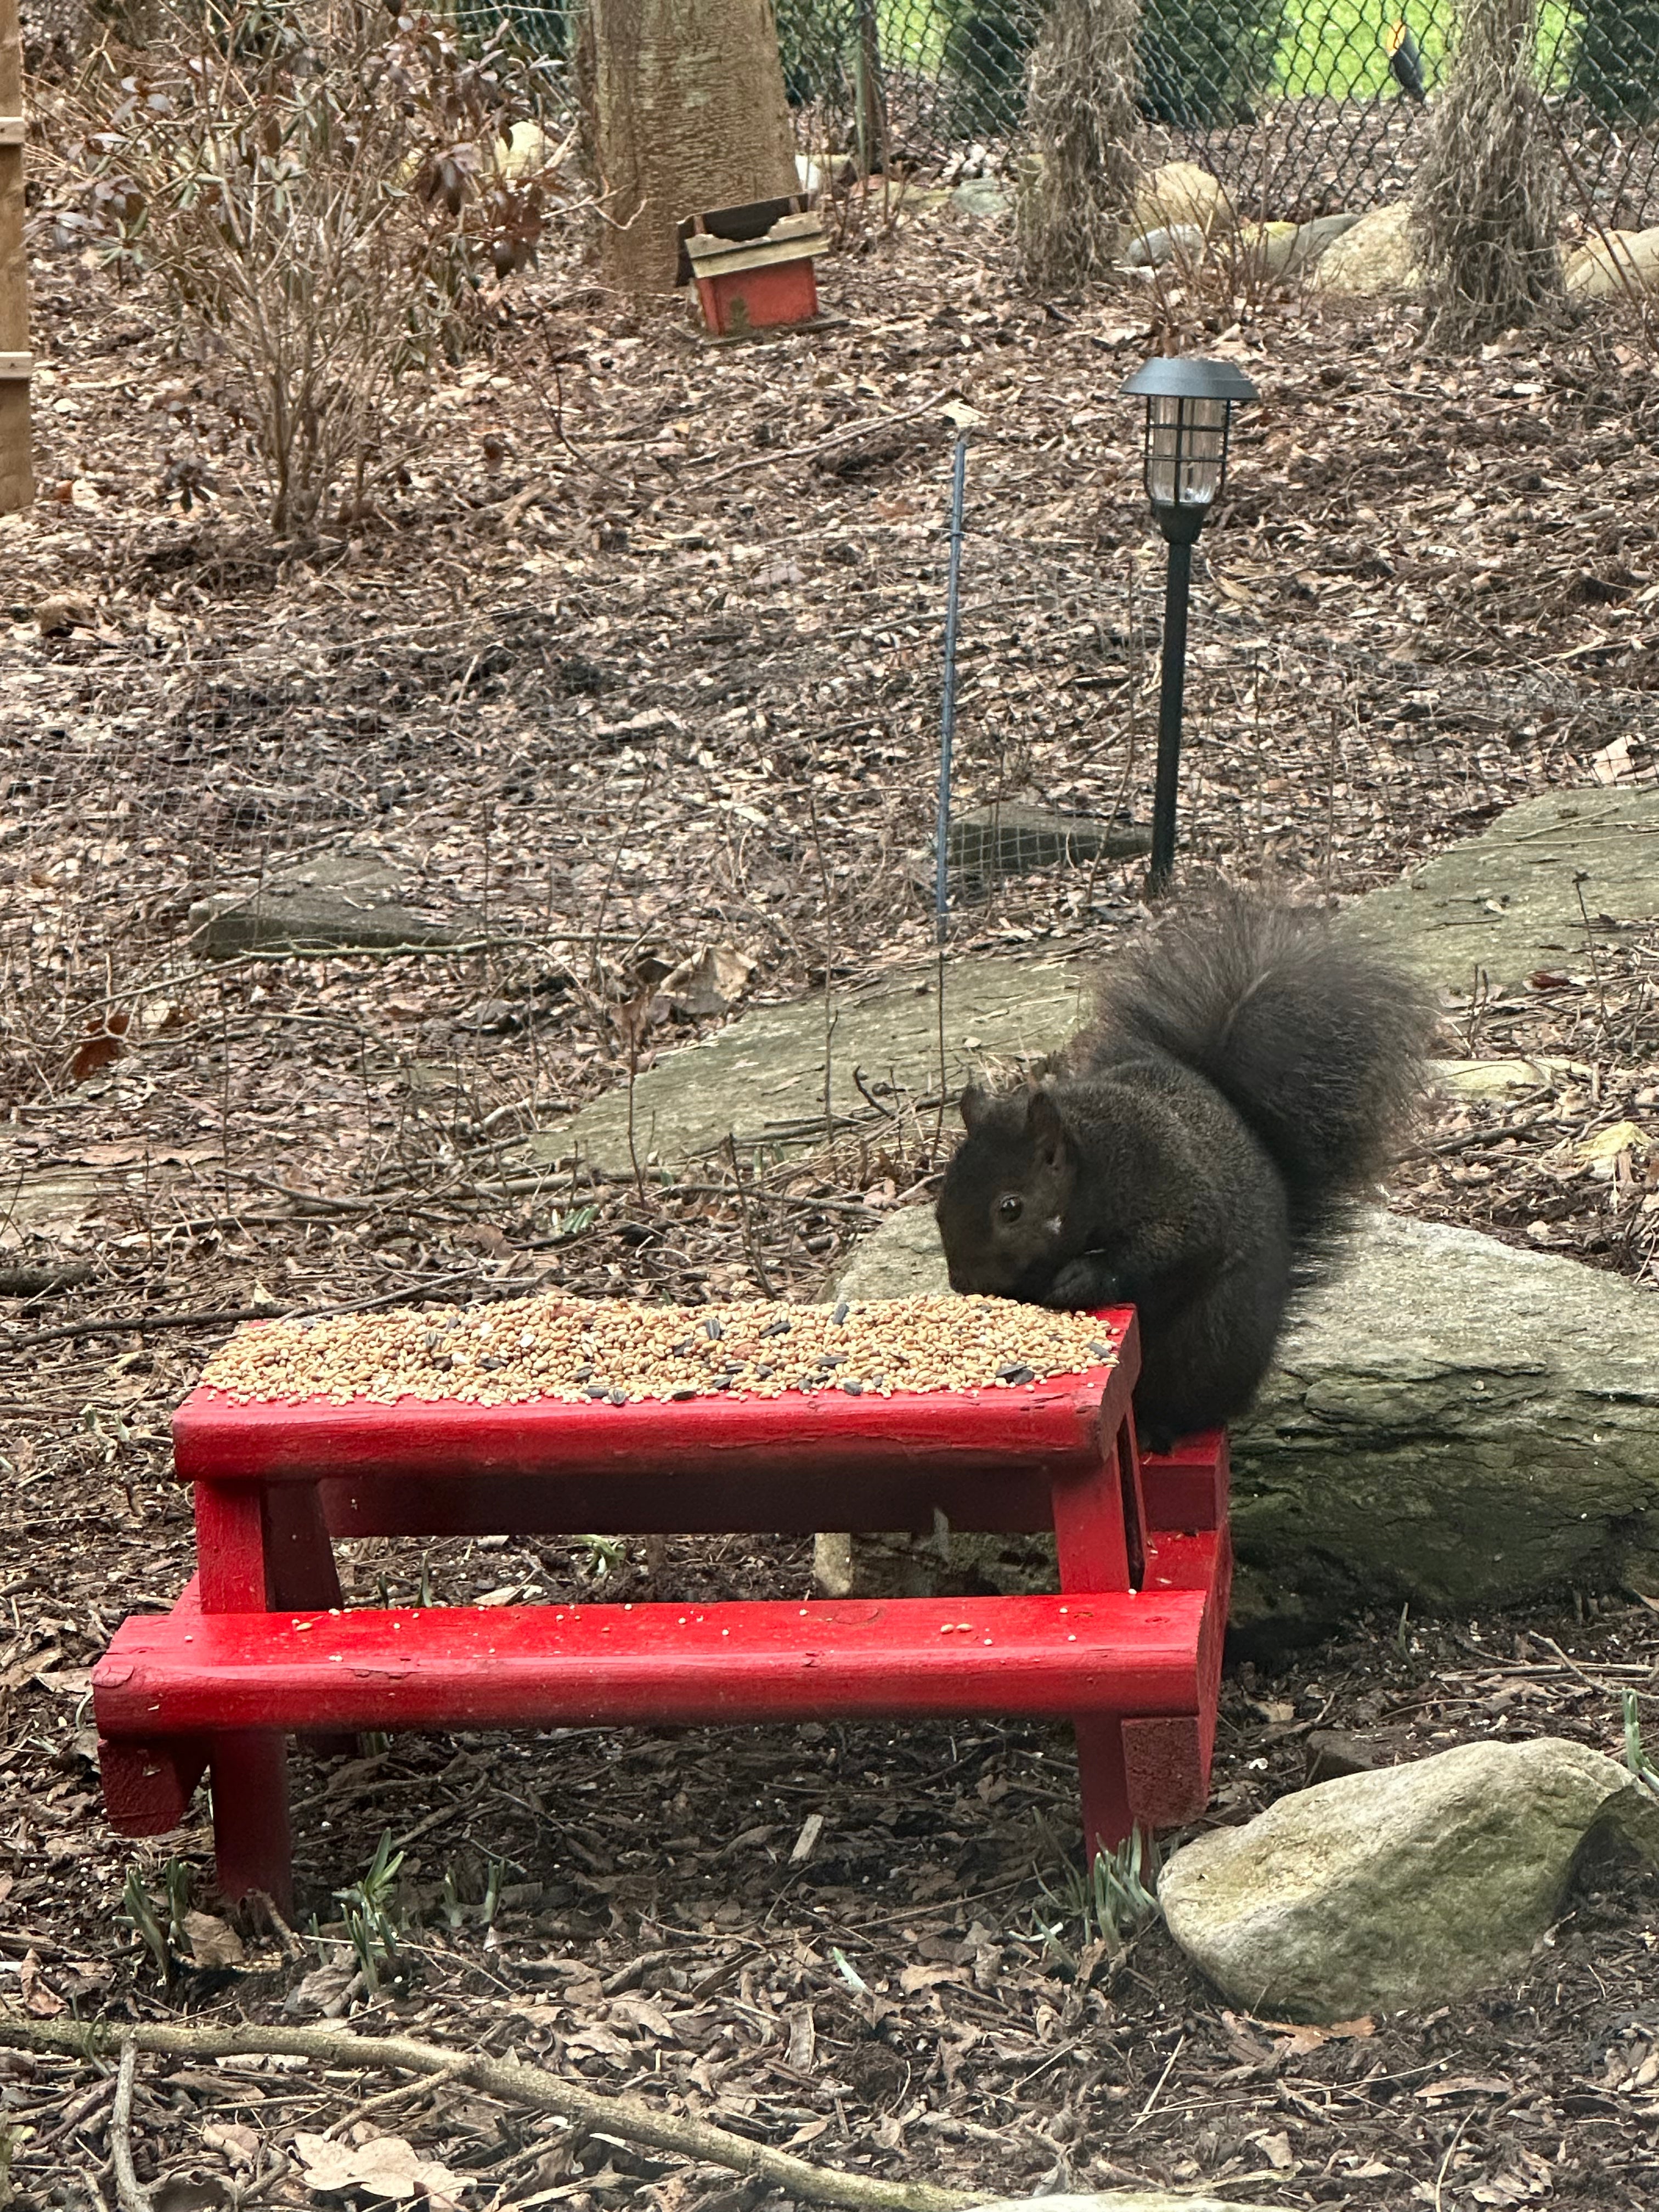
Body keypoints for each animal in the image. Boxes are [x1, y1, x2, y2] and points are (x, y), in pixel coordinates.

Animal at [942, 884, 1433, 1451]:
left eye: (1011, 1208)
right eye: (940, 1201)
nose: (962, 1284)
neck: (1097, 1162)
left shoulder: (1167, 1177)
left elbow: (1176, 1244)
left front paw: (1084, 1276)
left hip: (1207, 1343)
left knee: (1189, 1406)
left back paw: (1163, 1427)